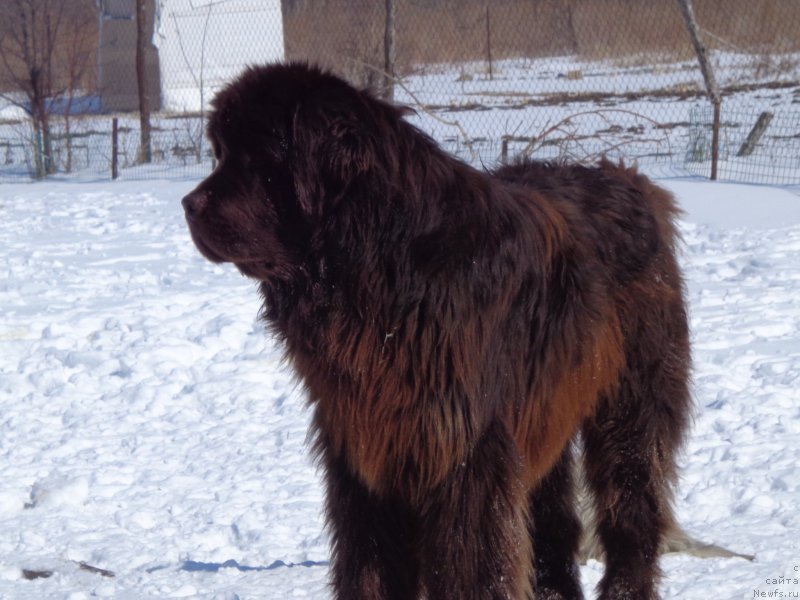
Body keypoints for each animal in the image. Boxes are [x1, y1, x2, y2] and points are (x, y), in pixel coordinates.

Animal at [184, 64, 692, 600]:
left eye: (256, 157)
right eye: (220, 152)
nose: (188, 205)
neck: (375, 267)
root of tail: (632, 179)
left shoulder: (463, 448)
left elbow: (473, 560)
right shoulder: (364, 453)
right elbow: (369, 560)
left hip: (631, 402)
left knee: (632, 504)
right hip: (546, 406)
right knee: (553, 519)